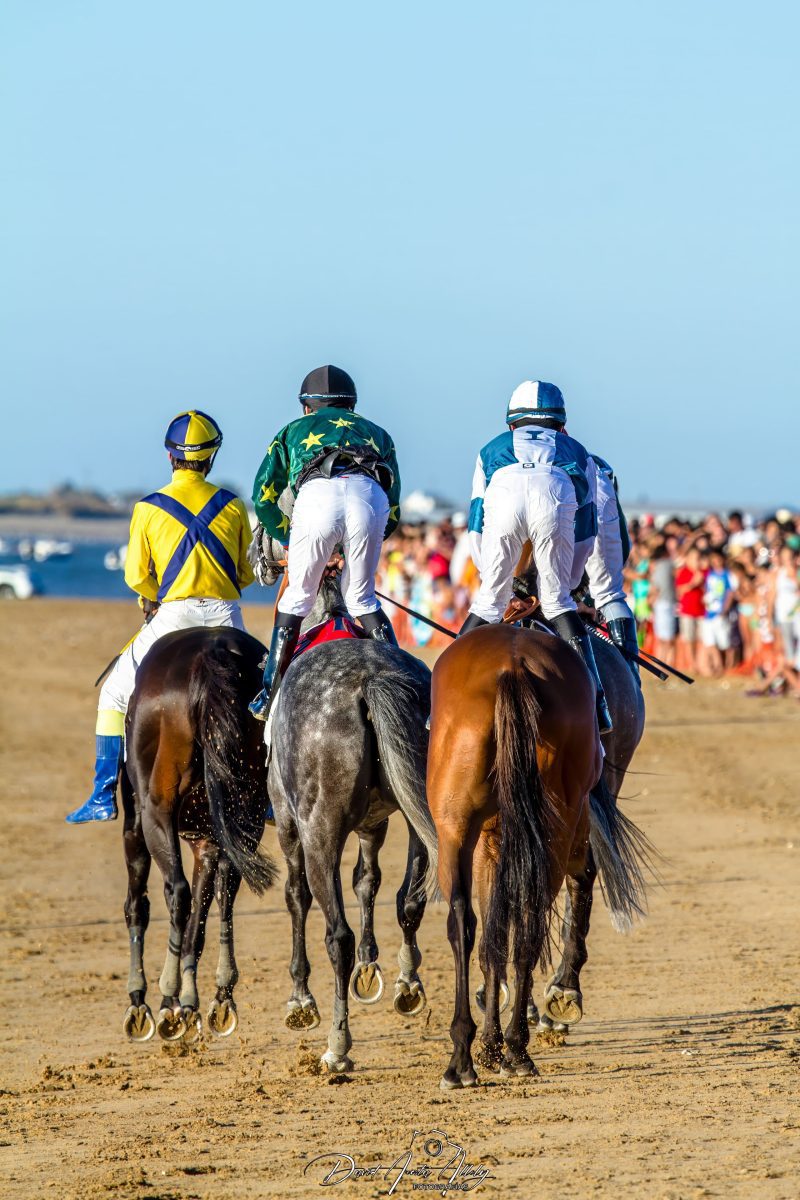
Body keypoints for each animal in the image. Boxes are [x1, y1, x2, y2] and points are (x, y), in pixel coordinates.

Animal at [120, 625, 276, 1043]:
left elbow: (139, 905)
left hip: (156, 809)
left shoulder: (136, 824)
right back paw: (219, 996)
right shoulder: (207, 840)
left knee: (176, 893)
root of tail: (212, 653)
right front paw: (190, 999)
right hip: (247, 810)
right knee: (227, 889)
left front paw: (142, 999)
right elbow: (203, 913)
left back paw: (168, 998)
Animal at [267, 572, 438, 1073]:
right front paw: (371, 965)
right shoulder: (373, 823)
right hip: (422, 809)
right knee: (410, 901)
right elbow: (369, 880)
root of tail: (369, 680)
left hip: (318, 830)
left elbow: (296, 897)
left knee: (335, 933)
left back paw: (337, 1045)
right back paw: (408, 983)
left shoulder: (290, 825)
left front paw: (300, 999)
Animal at [427, 623, 650, 1089]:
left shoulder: (491, 842)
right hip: (553, 826)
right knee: (527, 918)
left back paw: (470, 1055)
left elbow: (494, 930)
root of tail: (512, 668)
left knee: (468, 921)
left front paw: (492, 1041)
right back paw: (513, 1046)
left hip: (456, 825)